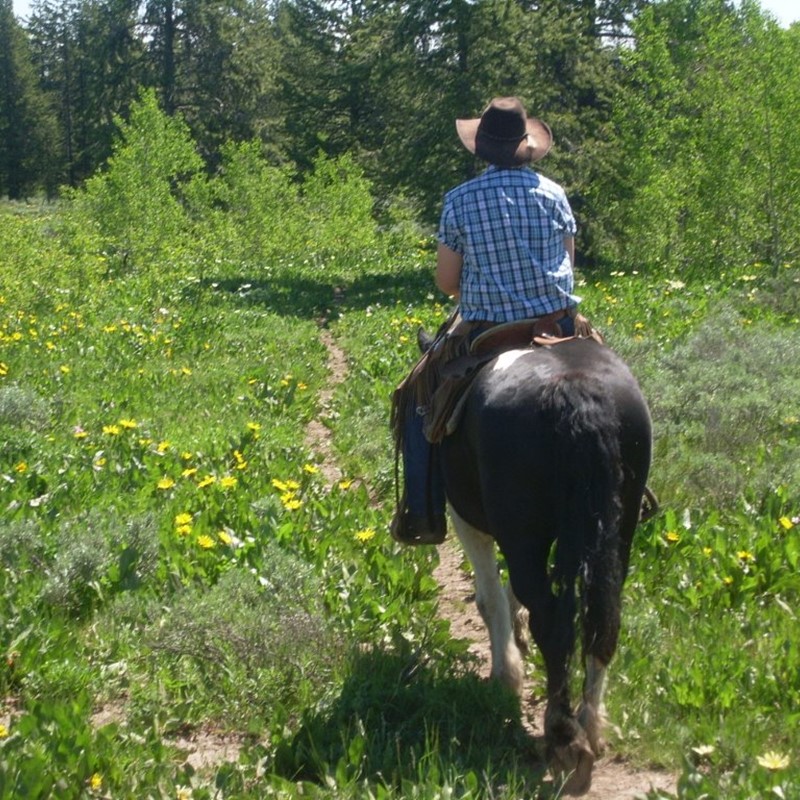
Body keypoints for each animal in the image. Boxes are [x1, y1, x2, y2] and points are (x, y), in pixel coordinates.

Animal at [438, 335, 652, 795]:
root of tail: (573, 389)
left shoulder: (468, 521)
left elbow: (491, 599)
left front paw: (505, 677)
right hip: (617, 530)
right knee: (602, 621)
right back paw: (590, 727)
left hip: (523, 533)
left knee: (552, 622)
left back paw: (563, 738)